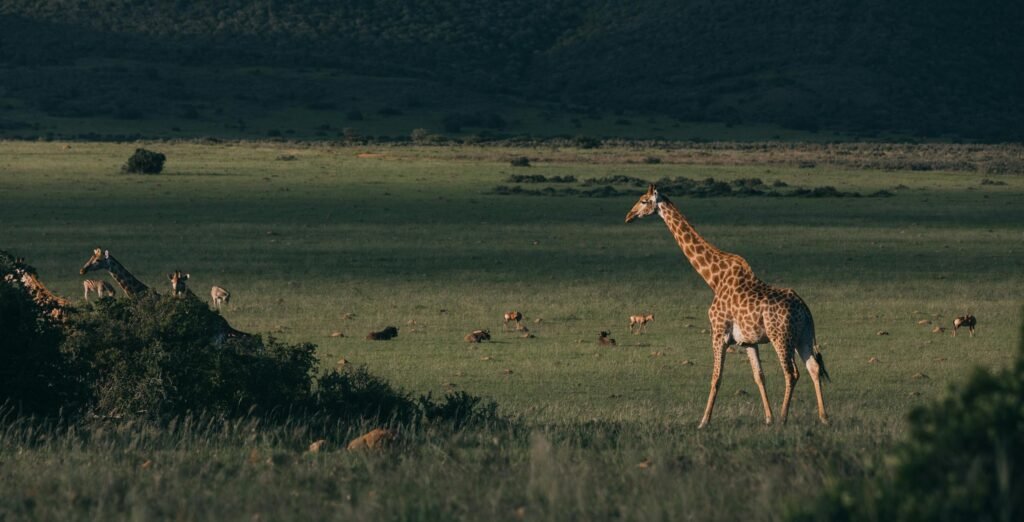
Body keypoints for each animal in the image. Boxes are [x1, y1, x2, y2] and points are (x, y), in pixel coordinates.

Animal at [625, 184, 829, 427]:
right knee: (814, 368)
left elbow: (716, 377)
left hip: (781, 336)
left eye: (644, 200)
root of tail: (805, 310)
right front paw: (767, 418)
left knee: (791, 372)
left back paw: (784, 418)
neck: (714, 279)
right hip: (803, 336)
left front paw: (703, 421)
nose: (629, 216)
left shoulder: (718, 332)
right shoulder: (748, 341)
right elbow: (759, 376)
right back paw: (823, 417)